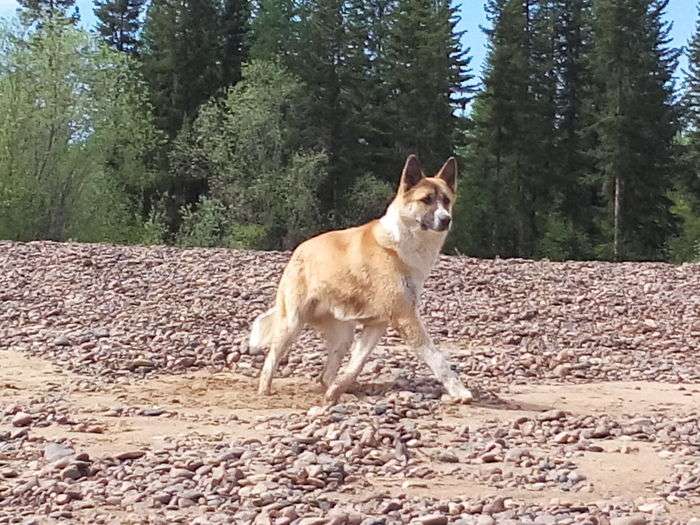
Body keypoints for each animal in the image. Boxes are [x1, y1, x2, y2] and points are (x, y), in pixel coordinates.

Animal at [249, 154, 474, 404]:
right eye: (426, 200)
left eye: (446, 200)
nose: (446, 219)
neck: (402, 243)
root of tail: (298, 250)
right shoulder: (406, 317)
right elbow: (437, 359)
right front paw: (460, 392)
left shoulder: (377, 324)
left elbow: (357, 363)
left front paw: (338, 390)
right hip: (292, 323)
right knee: (271, 360)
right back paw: (264, 391)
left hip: (344, 335)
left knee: (326, 373)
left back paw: (338, 390)